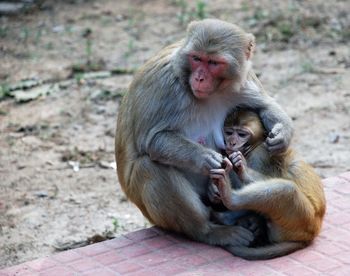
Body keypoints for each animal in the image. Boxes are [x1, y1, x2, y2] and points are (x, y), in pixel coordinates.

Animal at [115, 19, 292, 248]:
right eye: (196, 58)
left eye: (214, 63)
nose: (199, 78)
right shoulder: (164, 86)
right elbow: (153, 140)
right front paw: (205, 158)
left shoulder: (244, 78)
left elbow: (264, 106)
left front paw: (283, 134)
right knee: (149, 166)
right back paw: (210, 231)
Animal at [208, 109, 326, 258]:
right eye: (229, 132)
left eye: (241, 134)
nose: (231, 143)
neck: (255, 145)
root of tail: (311, 235)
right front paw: (212, 190)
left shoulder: (260, 155)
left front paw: (243, 170)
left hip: (304, 220)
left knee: (287, 189)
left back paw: (230, 197)